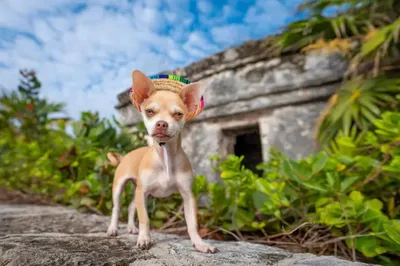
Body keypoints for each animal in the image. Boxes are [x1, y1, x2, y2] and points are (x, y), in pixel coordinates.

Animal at [106, 70, 219, 254]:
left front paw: (200, 243)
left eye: (178, 114)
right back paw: (113, 229)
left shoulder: (187, 196)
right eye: (149, 111)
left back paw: (131, 228)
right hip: (120, 187)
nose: (161, 123)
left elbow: (192, 224)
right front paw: (144, 239)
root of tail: (125, 156)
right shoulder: (143, 192)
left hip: (140, 191)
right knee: (117, 208)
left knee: (130, 206)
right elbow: (145, 218)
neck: (165, 154)